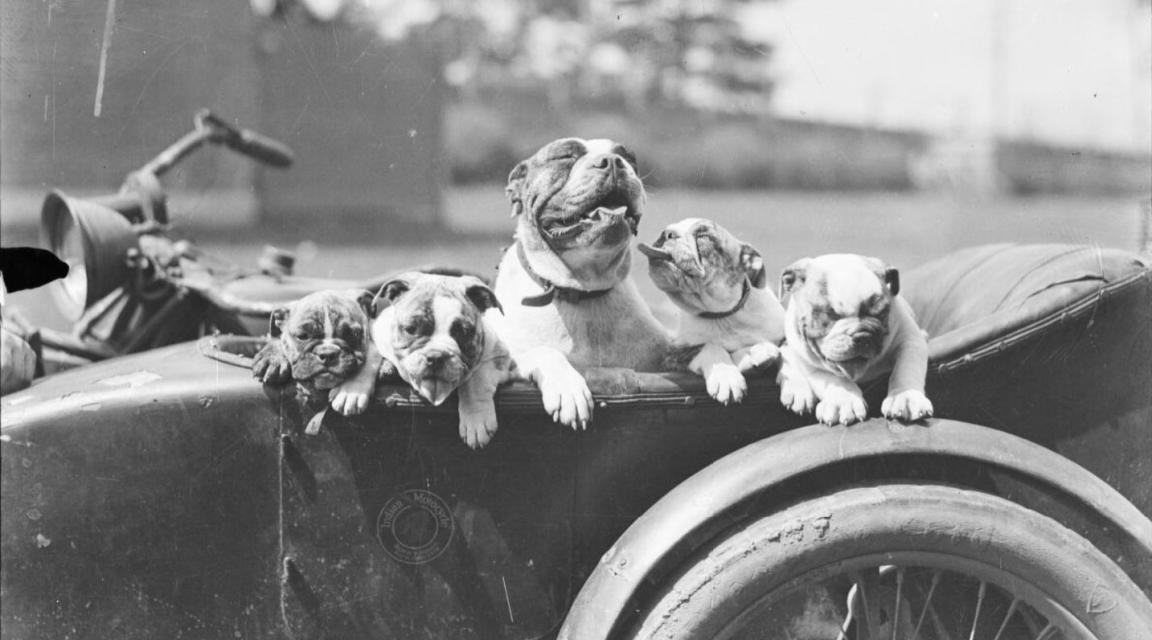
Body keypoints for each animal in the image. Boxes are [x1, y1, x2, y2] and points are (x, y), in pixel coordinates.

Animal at [253, 288, 375, 423]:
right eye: (302, 336)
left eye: (353, 334)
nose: (327, 354)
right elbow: (277, 339)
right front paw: (272, 358)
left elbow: (370, 361)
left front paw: (351, 391)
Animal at [364, 272, 518, 446]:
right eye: (411, 329)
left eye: (464, 332)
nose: (436, 356)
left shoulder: (499, 356)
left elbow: (476, 381)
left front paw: (476, 419)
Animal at [497, 139, 672, 430]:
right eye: (566, 155)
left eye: (628, 157)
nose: (611, 162)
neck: (583, 290)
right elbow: (545, 352)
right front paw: (568, 388)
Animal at [635, 217, 787, 402]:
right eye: (667, 230)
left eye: (703, 236)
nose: (667, 233)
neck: (721, 315)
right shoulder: (669, 357)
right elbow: (709, 347)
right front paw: (726, 375)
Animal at [774, 253, 935, 425]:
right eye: (829, 314)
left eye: (881, 313)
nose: (862, 336)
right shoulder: (809, 362)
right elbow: (833, 378)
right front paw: (843, 401)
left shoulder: (909, 339)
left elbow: (906, 368)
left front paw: (905, 396)